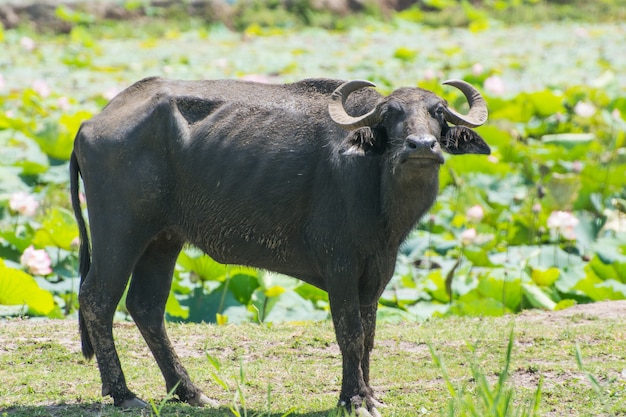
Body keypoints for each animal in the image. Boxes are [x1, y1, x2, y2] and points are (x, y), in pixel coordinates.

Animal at [69, 76, 488, 414]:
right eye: (390, 114)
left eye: (438, 112)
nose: (421, 145)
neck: (376, 189)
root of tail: (91, 122)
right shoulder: (339, 266)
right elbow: (349, 333)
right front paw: (352, 399)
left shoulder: (378, 270)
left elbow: (368, 336)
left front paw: (369, 395)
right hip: (119, 232)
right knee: (97, 300)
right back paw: (123, 393)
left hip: (163, 239)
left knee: (146, 307)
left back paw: (190, 392)